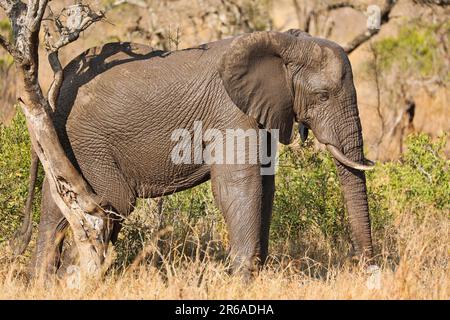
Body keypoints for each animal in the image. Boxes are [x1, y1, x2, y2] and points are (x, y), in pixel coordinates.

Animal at [13, 28, 372, 278]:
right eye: (323, 96)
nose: (369, 270)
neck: (283, 42)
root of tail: (58, 87)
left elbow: (265, 187)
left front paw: (254, 274)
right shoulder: (229, 111)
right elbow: (239, 186)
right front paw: (241, 280)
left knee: (61, 208)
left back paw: (47, 282)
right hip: (86, 142)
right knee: (109, 202)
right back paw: (74, 278)